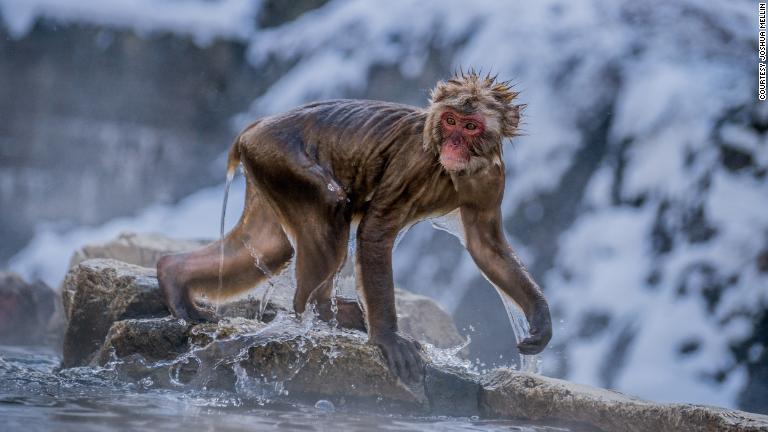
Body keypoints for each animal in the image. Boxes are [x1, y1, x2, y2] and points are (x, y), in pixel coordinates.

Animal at [156, 72, 552, 384]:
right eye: (451, 121)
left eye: (471, 126)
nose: (454, 143)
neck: (449, 169)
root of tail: (251, 130)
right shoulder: (414, 164)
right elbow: (375, 231)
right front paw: (388, 338)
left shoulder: (492, 179)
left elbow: (488, 249)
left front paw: (540, 320)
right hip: (278, 157)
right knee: (330, 207)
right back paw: (318, 310)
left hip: (265, 168)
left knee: (268, 246)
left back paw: (173, 274)